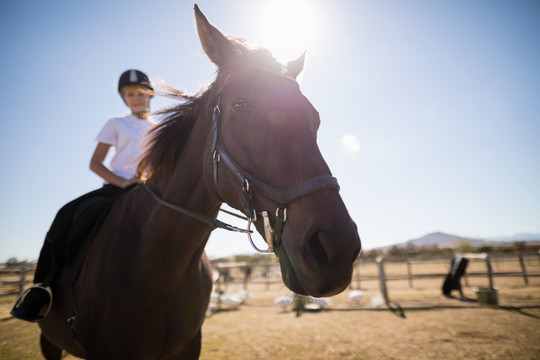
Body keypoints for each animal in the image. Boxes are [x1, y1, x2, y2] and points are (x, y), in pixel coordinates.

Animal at [37, 5, 358, 360]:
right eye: (240, 105)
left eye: (315, 117)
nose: (337, 249)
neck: (158, 263)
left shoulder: (189, 347)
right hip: (50, 340)